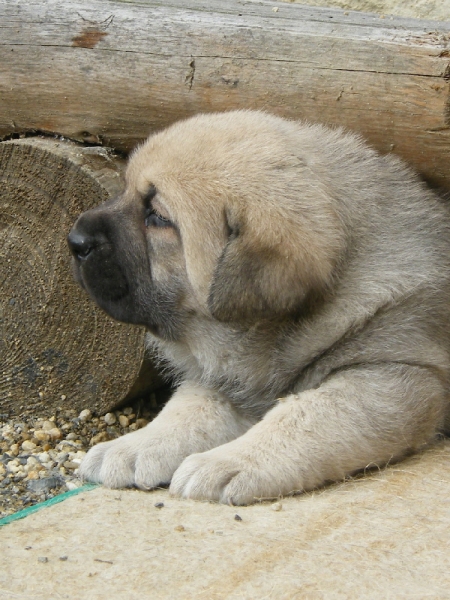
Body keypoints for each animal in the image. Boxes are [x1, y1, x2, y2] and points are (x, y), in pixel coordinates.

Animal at [67, 110, 450, 504]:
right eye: (126, 189)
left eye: (158, 217)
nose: (74, 240)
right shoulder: (230, 376)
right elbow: (190, 406)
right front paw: (134, 445)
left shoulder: (396, 373)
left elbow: (305, 415)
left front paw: (229, 462)